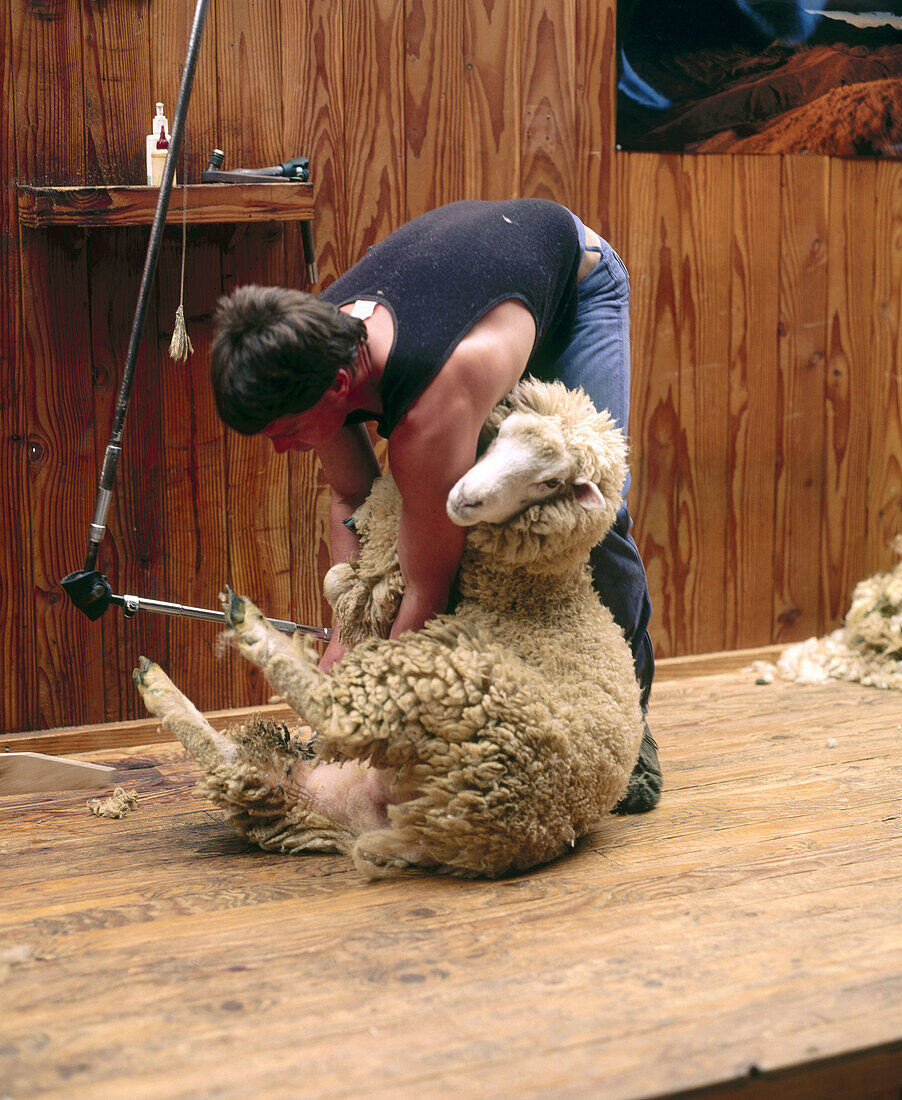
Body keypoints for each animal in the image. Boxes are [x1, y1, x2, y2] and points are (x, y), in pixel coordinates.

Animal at [132, 382, 642, 880]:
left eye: (550, 481)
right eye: (501, 433)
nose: (463, 498)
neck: (537, 594)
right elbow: (337, 578)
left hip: (449, 687)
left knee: (334, 709)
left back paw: (246, 622)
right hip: (294, 789)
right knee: (238, 761)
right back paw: (155, 680)